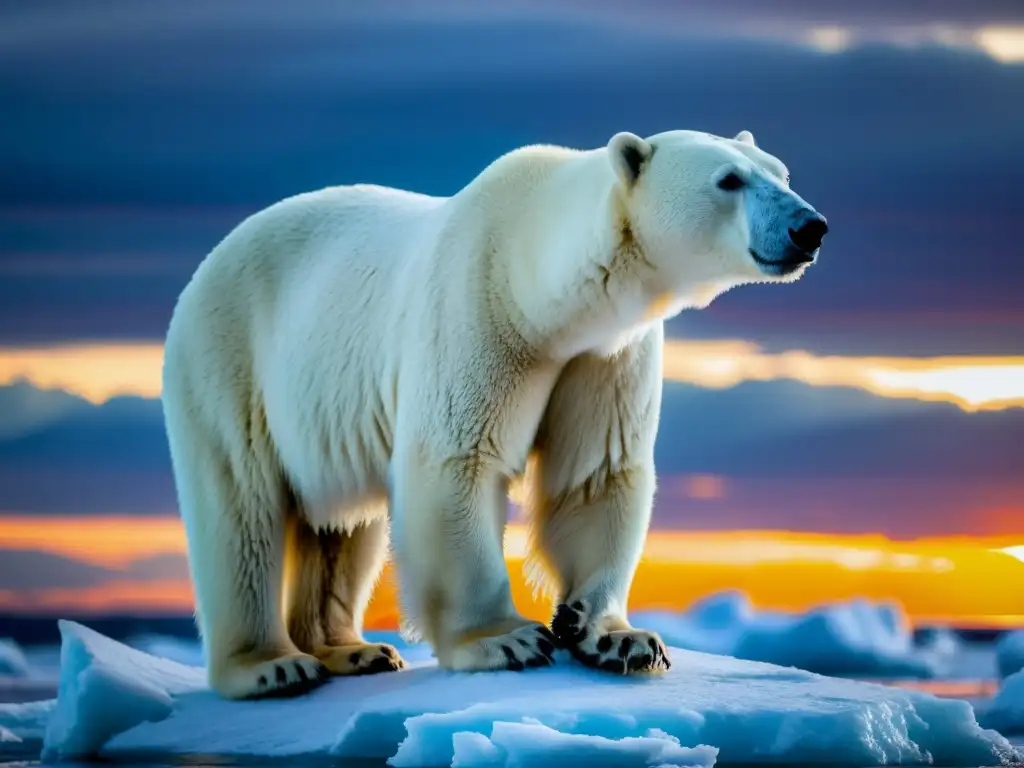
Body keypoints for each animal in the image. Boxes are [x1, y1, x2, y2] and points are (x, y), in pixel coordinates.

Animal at [163, 129, 827, 700]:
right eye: (729, 180)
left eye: (781, 172)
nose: (810, 226)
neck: (537, 279)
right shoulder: (478, 314)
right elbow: (458, 459)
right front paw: (505, 638)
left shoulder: (604, 352)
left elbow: (597, 471)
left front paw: (616, 635)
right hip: (230, 359)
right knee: (240, 507)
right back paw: (271, 667)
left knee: (342, 525)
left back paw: (353, 650)